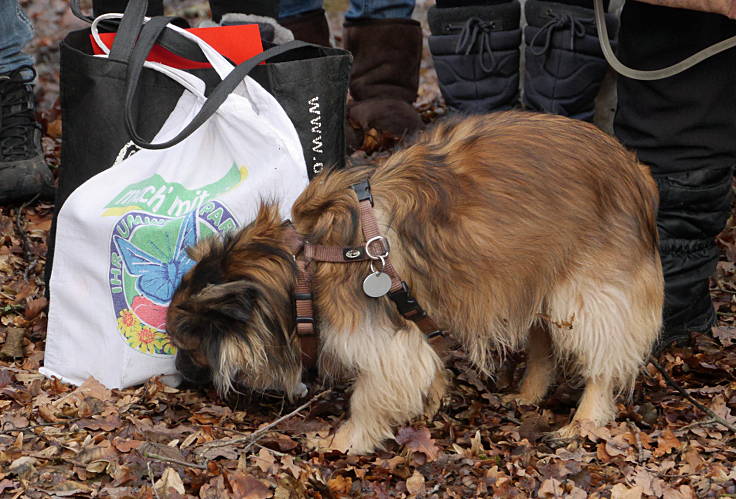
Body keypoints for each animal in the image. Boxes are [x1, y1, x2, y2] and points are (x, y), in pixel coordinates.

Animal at [170, 111, 664, 456]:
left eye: (186, 342)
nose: (177, 374)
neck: (306, 260)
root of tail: (635, 168)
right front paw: (432, 400)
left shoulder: (383, 339)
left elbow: (371, 393)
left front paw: (344, 441)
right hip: (538, 277)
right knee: (544, 341)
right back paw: (527, 393)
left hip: (584, 291)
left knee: (601, 359)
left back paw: (585, 420)